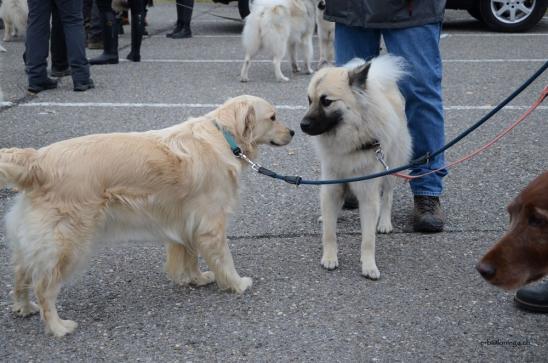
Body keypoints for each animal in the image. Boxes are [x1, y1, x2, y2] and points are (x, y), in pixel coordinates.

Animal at [1, 94, 296, 338]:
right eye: (273, 117)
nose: (293, 131)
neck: (225, 138)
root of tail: (37, 160)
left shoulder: (188, 221)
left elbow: (190, 255)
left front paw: (196, 278)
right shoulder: (211, 225)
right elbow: (224, 259)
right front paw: (236, 283)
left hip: (37, 241)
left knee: (21, 273)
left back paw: (23, 307)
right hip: (68, 244)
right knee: (44, 287)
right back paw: (57, 327)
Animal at [300, 55, 412, 280]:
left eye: (326, 101)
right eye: (309, 100)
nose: (302, 125)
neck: (350, 141)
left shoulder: (368, 195)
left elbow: (368, 239)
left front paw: (369, 265)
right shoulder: (331, 187)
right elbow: (329, 233)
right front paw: (329, 257)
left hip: (390, 168)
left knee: (388, 196)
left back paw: (384, 222)